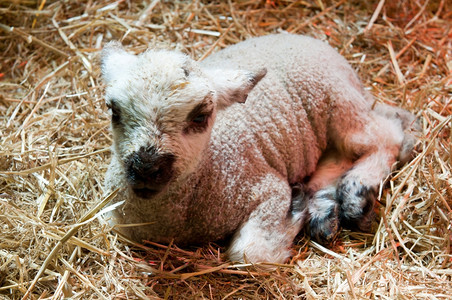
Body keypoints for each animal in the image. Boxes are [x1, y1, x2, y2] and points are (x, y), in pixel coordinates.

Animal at [100, 33, 418, 262]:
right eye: (114, 110)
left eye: (201, 116)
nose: (145, 168)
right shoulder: (114, 217)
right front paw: (306, 204)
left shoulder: (268, 190)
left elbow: (249, 254)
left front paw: (296, 208)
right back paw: (322, 209)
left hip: (339, 102)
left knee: (385, 135)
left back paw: (355, 194)